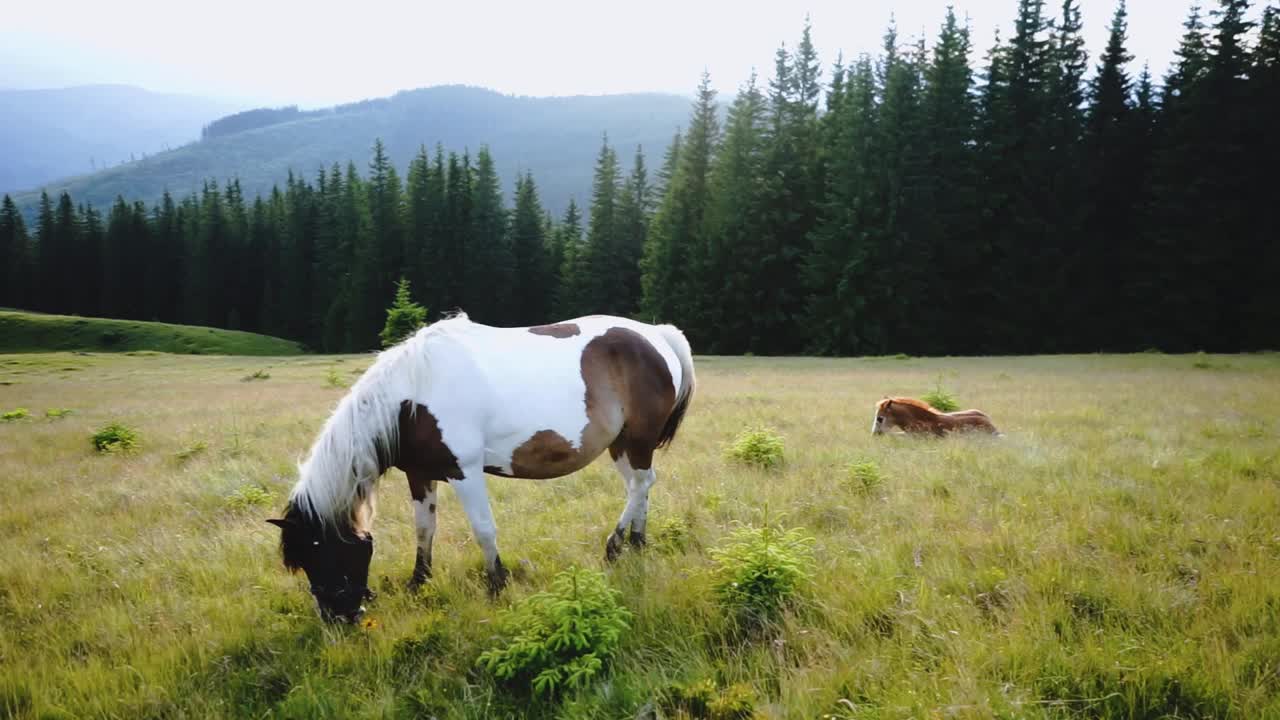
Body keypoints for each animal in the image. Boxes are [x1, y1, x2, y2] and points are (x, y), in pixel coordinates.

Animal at [263, 311, 696, 620]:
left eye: (319, 551)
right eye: (305, 559)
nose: (340, 617)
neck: (412, 397)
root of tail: (658, 335)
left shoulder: (465, 472)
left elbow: (484, 529)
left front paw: (497, 584)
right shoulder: (420, 474)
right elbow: (424, 529)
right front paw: (419, 582)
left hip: (637, 441)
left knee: (640, 485)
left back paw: (615, 547)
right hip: (621, 445)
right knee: (641, 485)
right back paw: (637, 542)